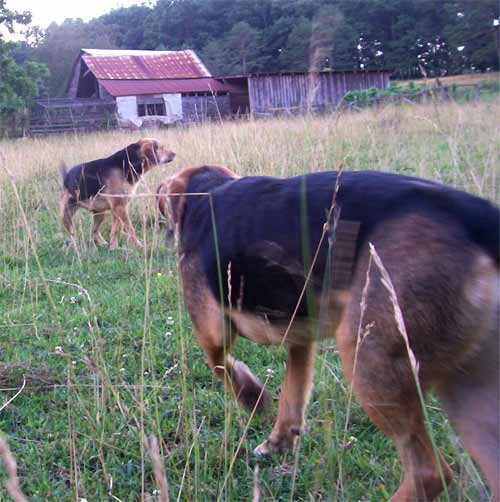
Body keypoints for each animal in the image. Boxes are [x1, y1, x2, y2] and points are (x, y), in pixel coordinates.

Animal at [157, 167, 500, 500]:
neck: (206, 190)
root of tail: (475, 216)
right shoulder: (300, 340)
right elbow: (292, 395)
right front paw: (279, 440)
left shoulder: (212, 332)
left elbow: (220, 365)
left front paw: (252, 396)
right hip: (470, 394)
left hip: (369, 361)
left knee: (429, 473)